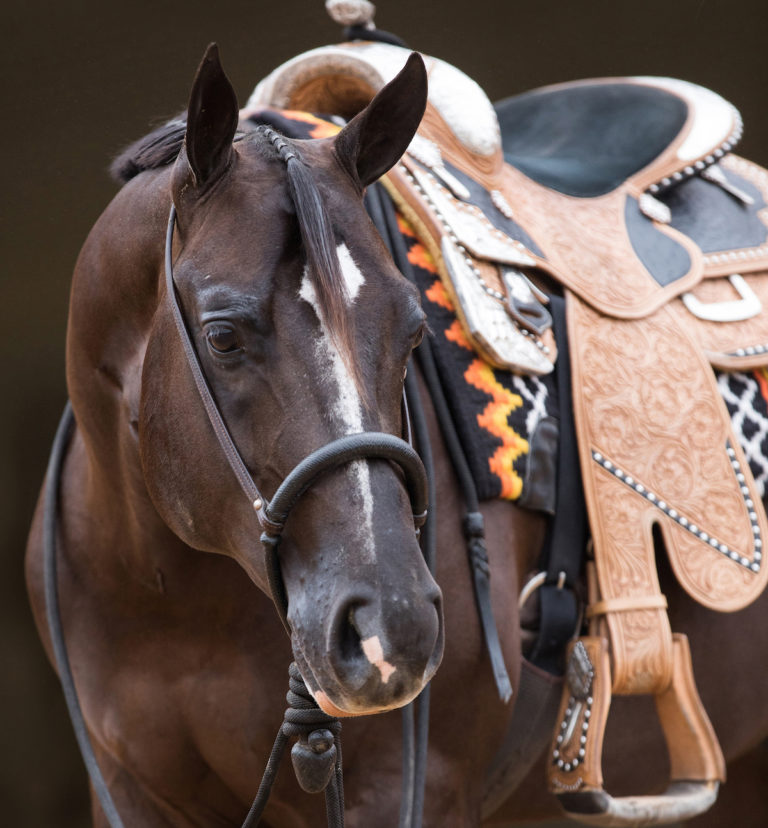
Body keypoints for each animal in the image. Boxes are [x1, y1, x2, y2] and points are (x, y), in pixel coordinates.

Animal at [25, 40, 768, 828]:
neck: (175, 598)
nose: (393, 623)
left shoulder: (411, 790)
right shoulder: (129, 790)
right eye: (222, 336)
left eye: (414, 330)